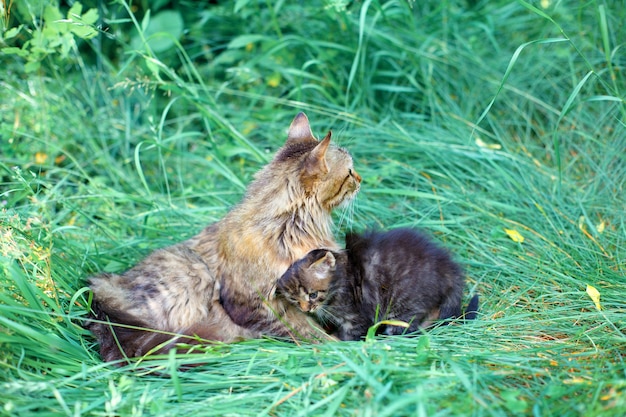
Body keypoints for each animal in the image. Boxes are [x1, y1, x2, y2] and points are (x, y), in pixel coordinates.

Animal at [88, 111, 360, 360]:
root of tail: (104, 286)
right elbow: (301, 329)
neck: (289, 229)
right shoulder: (255, 303)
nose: (360, 179)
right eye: (349, 172)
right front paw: (341, 349)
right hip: (195, 275)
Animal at [276, 228, 476, 342]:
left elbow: (351, 335)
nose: (306, 309)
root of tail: (448, 269)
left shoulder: (356, 316)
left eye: (313, 295)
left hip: (402, 306)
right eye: (295, 300)